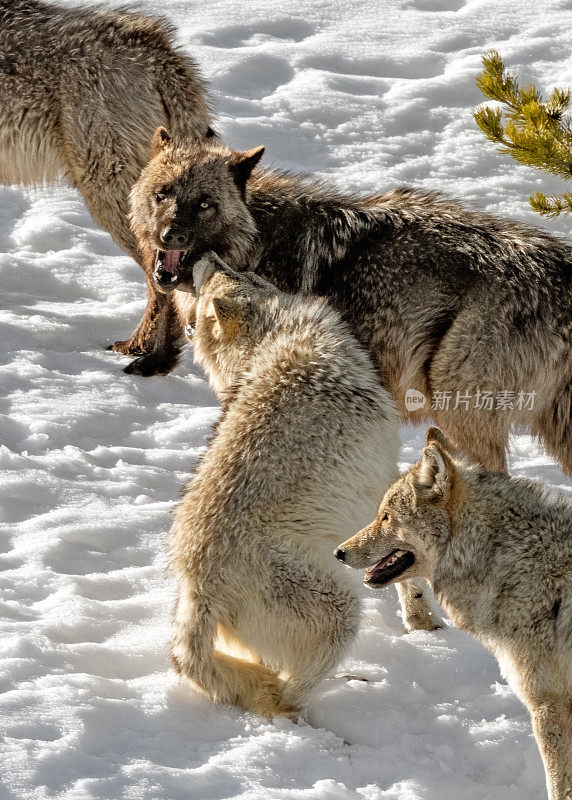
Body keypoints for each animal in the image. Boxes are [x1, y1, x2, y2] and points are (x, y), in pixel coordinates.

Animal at [168, 256, 440, 720]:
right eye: (212, 285)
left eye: (236, 272)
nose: (205, 257)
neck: (281, 335)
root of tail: (197, 589)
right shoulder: (384, 480)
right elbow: (407, 571)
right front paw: (422, 621)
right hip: (343, 612)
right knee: (287, 696)